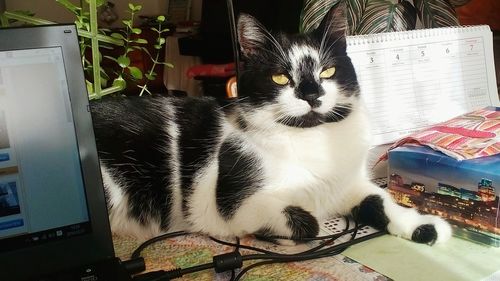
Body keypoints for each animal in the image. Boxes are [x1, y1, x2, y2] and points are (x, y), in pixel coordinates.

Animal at [91, 5, 454, 244]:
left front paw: (424, 226)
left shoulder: (351, 183)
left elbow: (381, 200)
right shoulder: (234, 204)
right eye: (281, 77)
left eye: (327, 71)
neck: (312, 139)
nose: (311, 94)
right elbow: (308, 221)